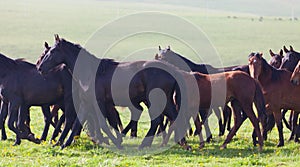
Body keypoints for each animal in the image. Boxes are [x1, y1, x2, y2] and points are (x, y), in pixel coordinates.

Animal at [36, 35, 189, 150]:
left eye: (51, 52)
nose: (40, 68)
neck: (90, 72)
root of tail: (173, 70)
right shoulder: (86, 103)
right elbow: (76, 124)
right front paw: (63, 144)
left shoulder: (99, 102)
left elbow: (102, 124)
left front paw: (117, 143)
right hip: (165, 101)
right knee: (173, 117)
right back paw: (182, 144)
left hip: (155, 101)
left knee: (158, 120)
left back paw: (146, 144)